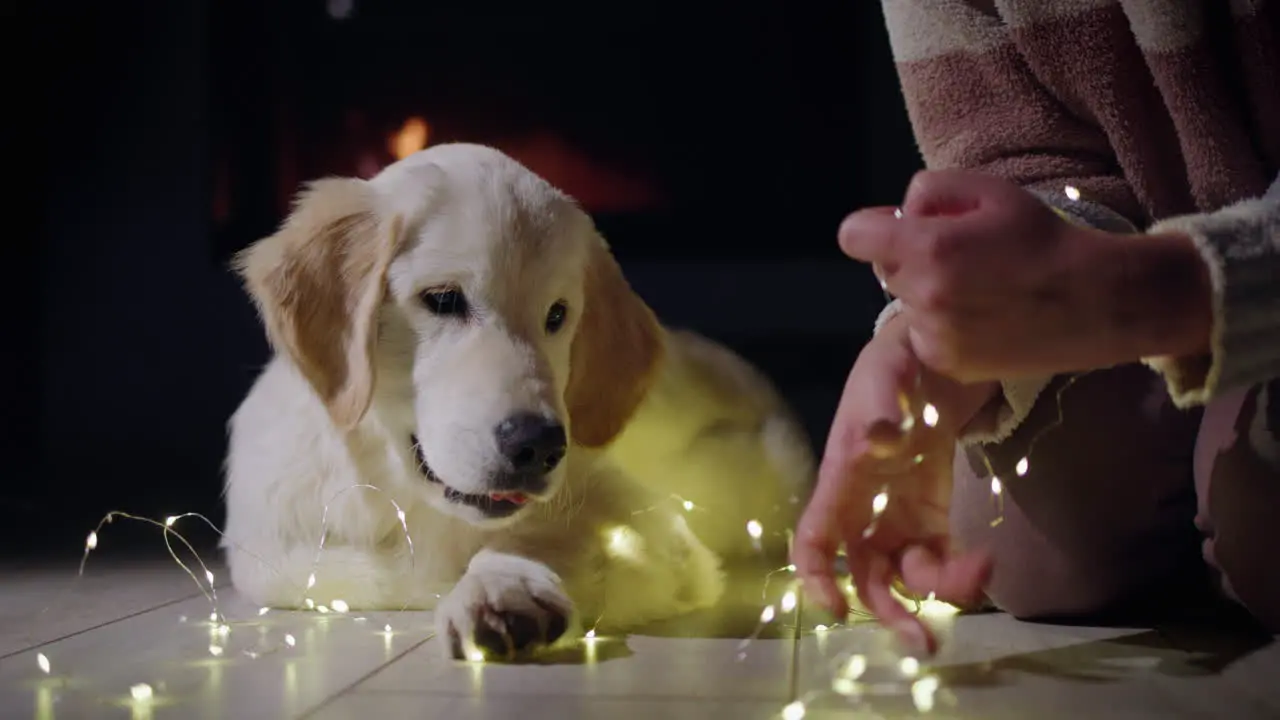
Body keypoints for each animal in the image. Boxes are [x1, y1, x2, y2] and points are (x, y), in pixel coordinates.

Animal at [221, 142, 814, 661]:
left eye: (557, 315)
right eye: (443, 299)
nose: (538, 446)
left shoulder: (662, 538)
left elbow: (547, 539)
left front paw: (502, 592)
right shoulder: (272, 557)